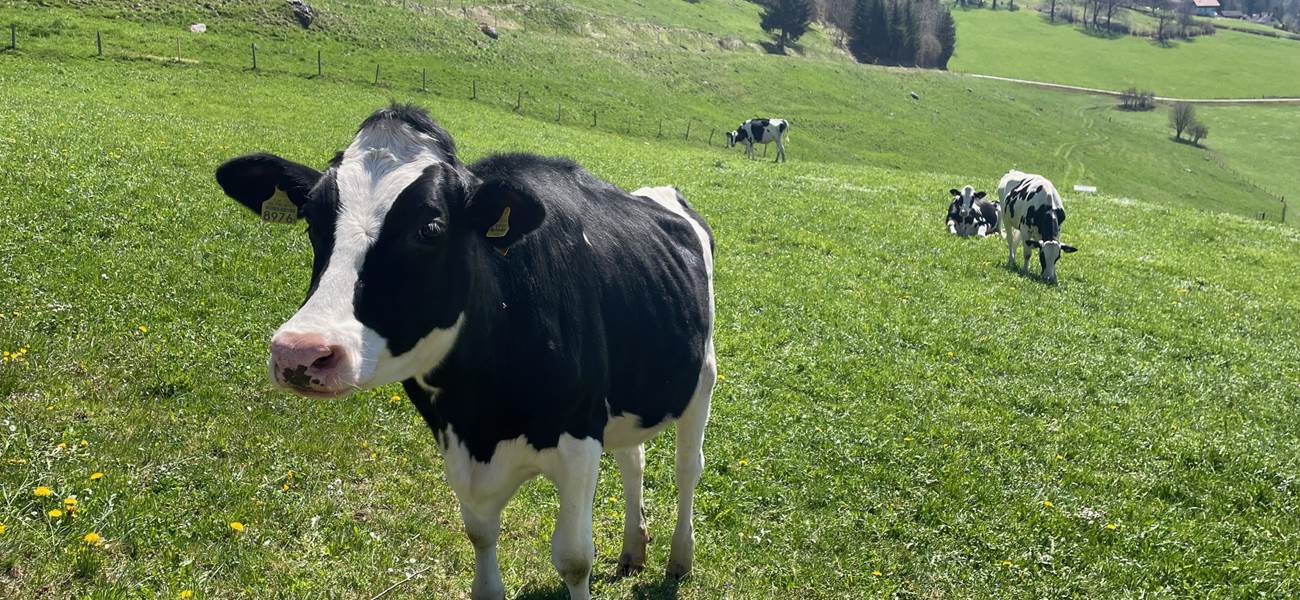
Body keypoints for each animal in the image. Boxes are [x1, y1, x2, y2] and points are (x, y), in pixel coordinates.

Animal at [213, 104, 717, 600]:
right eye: (313, 221)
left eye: (430, 227)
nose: (300, 352)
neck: (482, 411)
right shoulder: (455, 442)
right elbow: (480, 536)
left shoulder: (579, 434)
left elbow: (573, 557)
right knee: (634, 459)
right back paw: (633, 550)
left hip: (702, 379)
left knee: (687, 469)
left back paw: (679, 558)